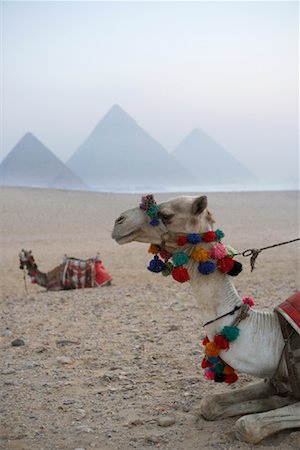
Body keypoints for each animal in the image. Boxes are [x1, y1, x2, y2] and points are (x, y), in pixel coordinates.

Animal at [112, 193, 300, 442]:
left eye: (166, 214)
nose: (119, 221)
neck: (275, 336)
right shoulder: (273, 379)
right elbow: (210, 404)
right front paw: (277, 399)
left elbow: (247, 426)